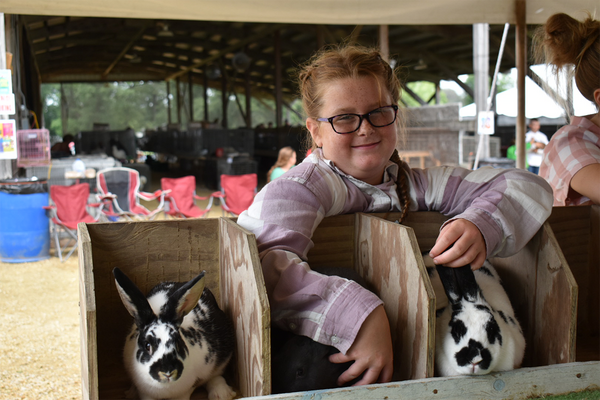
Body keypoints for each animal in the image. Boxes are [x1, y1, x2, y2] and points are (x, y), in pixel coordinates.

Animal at [112, 268, 237, 400]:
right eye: (147, 346)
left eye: (177, 343)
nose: (168, 372)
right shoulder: (145, 393)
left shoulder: (186, 390)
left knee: (216, 376)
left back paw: (222, 394)